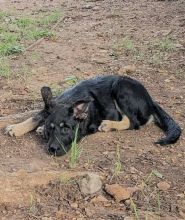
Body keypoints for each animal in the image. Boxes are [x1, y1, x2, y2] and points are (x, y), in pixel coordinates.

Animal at [5, 75, 181, 156]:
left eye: (66, 129)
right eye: (51, 129)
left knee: (133, 122)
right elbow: (34, 117)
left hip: (121, 86)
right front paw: (17, 127)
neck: (71, 100)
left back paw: (109, 125)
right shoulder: (51, 106)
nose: (52, 150)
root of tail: (150, 100)